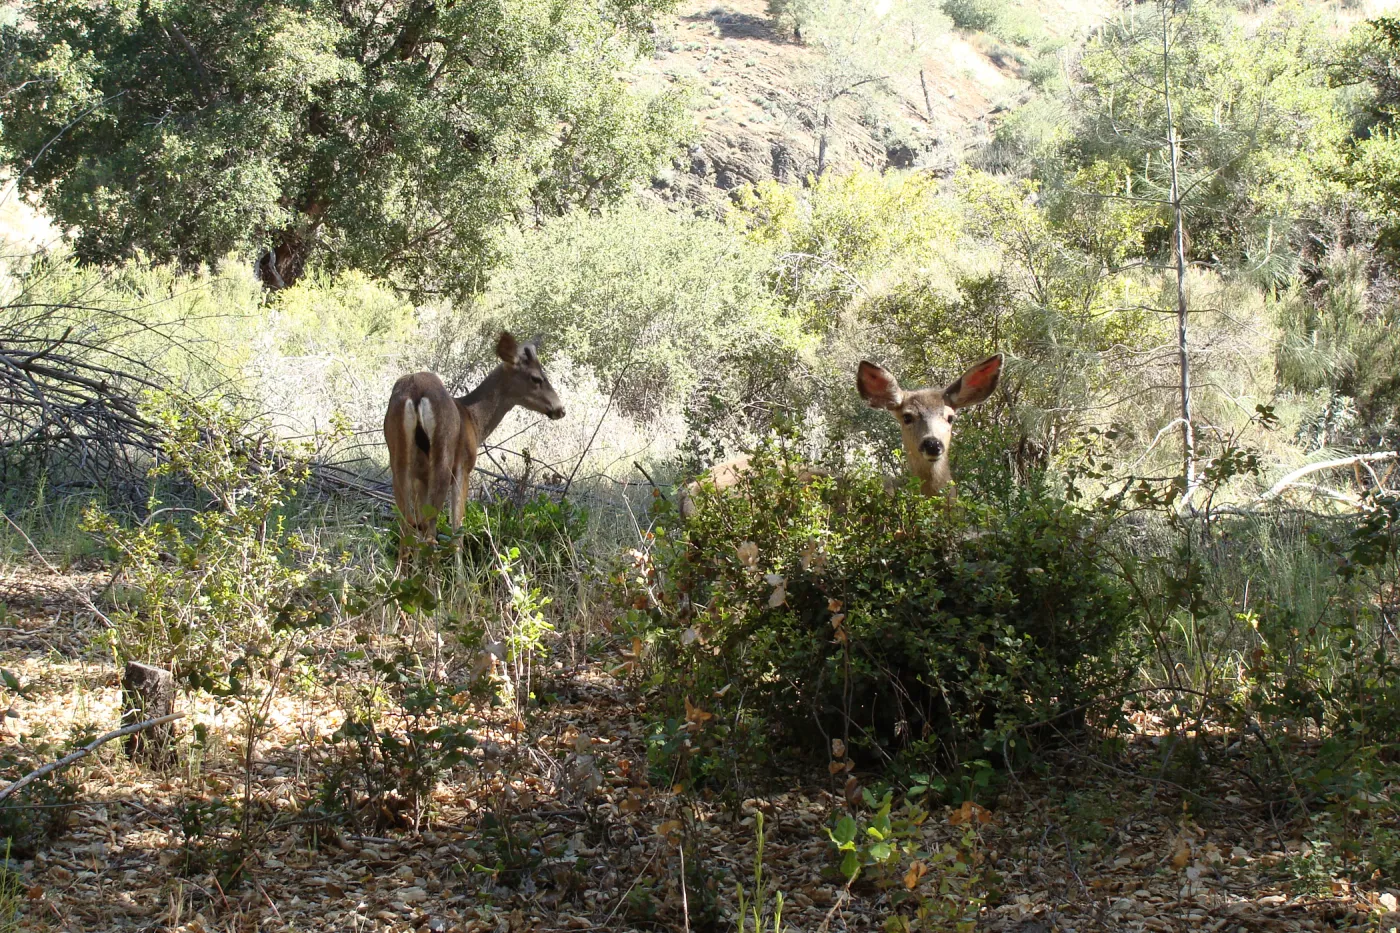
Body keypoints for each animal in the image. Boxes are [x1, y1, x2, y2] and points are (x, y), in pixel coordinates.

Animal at [384, 332, 565, 542]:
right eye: (536, 378)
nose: (560, 409)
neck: (473, 419)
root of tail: (416, 393)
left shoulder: (421, 476)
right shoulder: (464, 466)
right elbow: (457, 529)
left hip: (398, 458)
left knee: (407, 527)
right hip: (443, 457)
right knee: (430, 530)